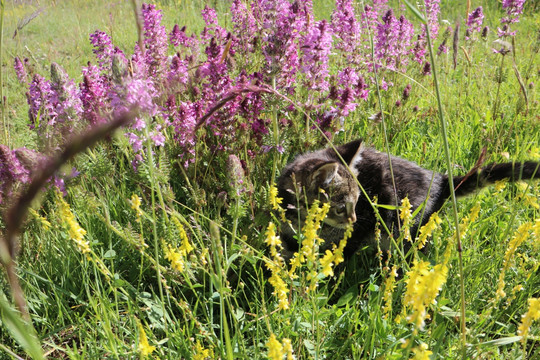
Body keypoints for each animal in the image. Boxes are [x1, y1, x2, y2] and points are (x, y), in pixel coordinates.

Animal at [278, 139, 540, 260]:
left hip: (403, 226)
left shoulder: (357, 232)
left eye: (359, 201)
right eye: (341, 208)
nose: (353, 219)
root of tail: (441, 181)